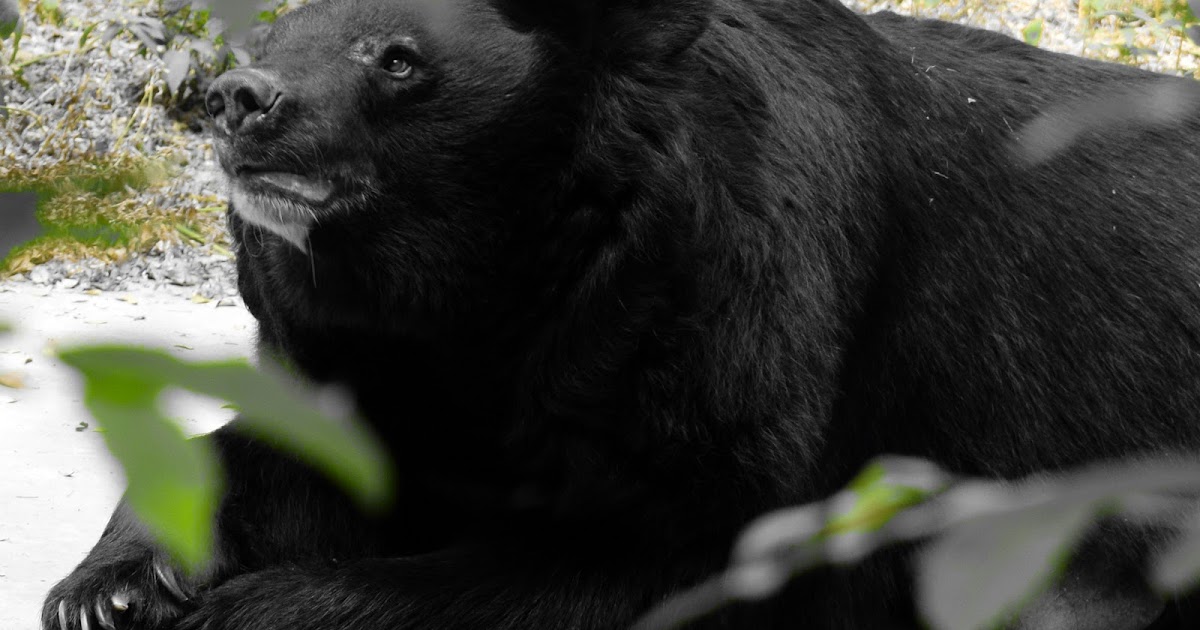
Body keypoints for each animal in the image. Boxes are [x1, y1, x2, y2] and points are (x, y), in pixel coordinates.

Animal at [37, 0, 1200, 624]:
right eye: (274, 33)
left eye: (398, 59)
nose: (238, 100)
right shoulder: (379, 356)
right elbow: (304, 451)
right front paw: (110, 590)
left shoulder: (721, 322)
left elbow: (647, 554)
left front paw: (248, 611)